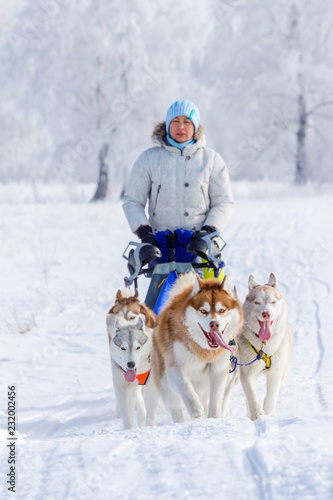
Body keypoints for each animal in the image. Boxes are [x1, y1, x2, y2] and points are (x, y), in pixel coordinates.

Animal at [147, 274, 243, 426]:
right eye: (203, 311)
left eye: (222, 310)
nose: (214, 324)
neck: (205, 352)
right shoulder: (174, 368)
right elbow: (185, 387)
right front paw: (195, 408)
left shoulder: (219, 371)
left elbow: (215, 401)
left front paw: (213, 418)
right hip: (163, 382)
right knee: (173, 407)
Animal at [237, 274, 292, 422]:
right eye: (257, 302)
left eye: (273, 302)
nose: (266, 314)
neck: (263, 346)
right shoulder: (247, 371)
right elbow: (251, 395)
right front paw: (257, 414)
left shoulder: (276, 373)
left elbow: (270, 398)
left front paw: (267, 414)